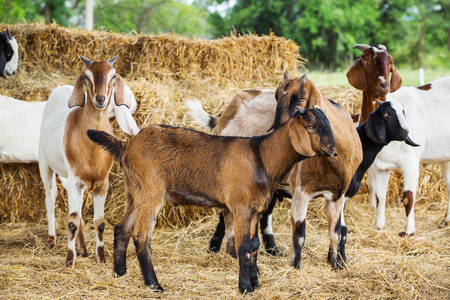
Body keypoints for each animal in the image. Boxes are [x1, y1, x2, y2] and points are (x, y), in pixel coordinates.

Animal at [368, 76, 450, 236]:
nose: (406, 132)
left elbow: (408, 197)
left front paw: (408, 231)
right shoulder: (381, 167)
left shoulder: (411, 163)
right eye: (386, 114)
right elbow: (380, 196)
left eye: (403, 113)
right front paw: (379, 226)